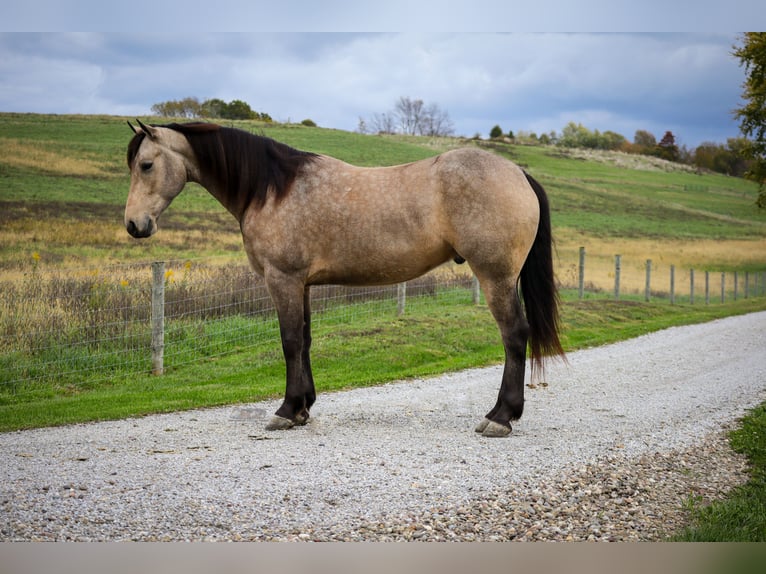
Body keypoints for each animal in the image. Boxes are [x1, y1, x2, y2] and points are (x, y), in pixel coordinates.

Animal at [124, 120, 564, 437]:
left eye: (146, 165)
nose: (134, 225)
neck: (273, 189)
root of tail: (519, 173)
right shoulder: (301, 284)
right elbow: (304, 341)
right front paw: (303, 407)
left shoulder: (282, 279)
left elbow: (289, 342)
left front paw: (286, 410)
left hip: (495, 277)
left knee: (514, 335)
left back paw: (500, 416)